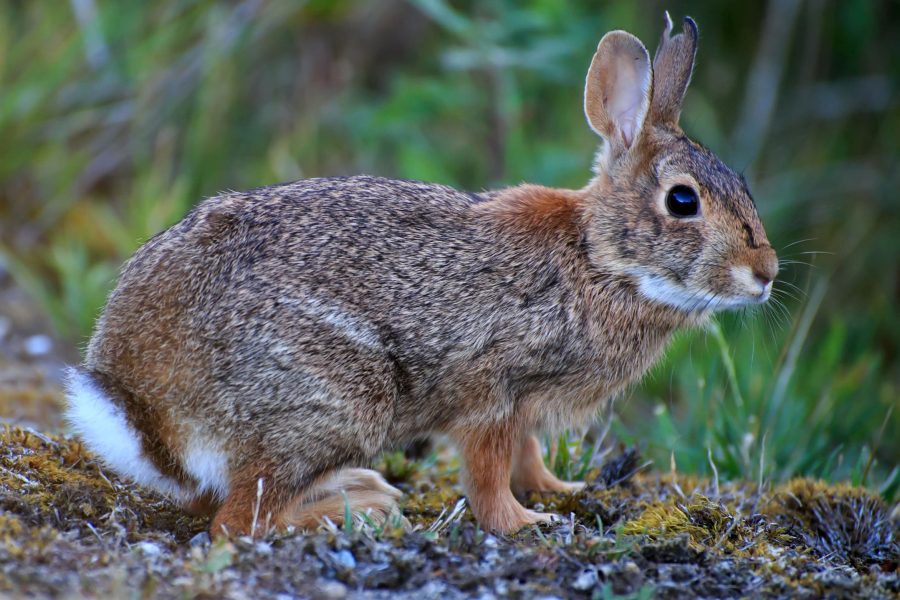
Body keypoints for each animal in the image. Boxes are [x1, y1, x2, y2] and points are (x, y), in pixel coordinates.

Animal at [67, 12, 776, 540]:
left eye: (742, 184)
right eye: (682, 201)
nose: (765, 273)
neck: (600, 259)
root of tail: (144, 408)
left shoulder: (523, 407)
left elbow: (527, 456)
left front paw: (560, 489)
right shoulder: (492, 391)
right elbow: (487, 474)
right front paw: (525, 522)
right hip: (338, 398)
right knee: (237, 521)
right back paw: (357, 509)